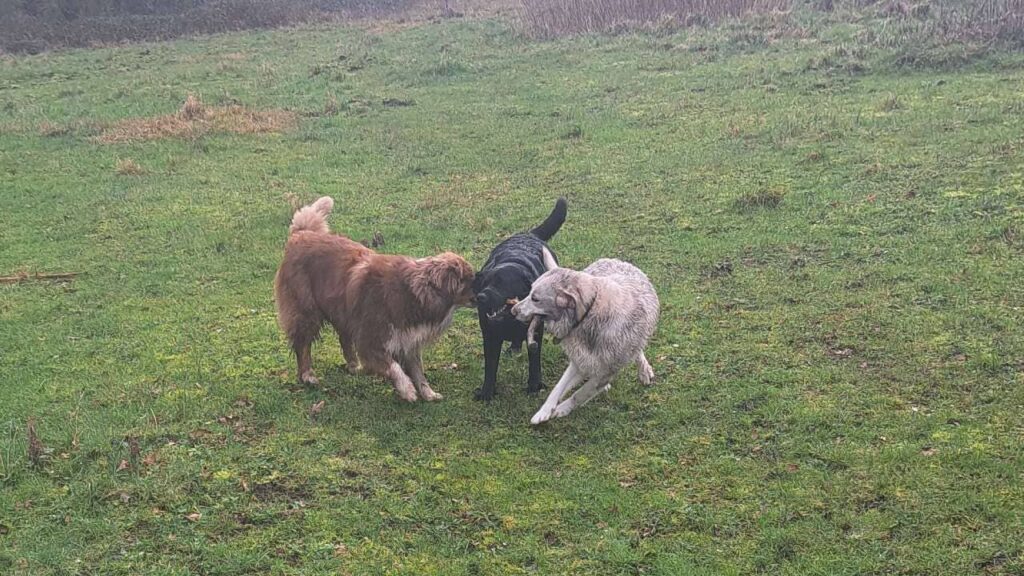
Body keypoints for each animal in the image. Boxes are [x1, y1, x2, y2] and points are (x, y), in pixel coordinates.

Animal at [274, 194, 477, 401]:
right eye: (471, 280)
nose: (483, 293)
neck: (412, 293)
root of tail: (301, 233)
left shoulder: (407, 341)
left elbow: (418, 371)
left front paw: (428, 393)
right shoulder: (370, 342)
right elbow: (394, 367)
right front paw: (407, 389)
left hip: (342, 309)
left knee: (343, 337)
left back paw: (354, 366)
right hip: (307, 311)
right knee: (303, 344)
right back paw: (307, 375)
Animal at [471, 196, 569, 399]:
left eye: (501, 283)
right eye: (483, 283)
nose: (481, 297)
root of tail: (529, 234)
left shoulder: (536, 331)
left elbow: (534, 360)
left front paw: (534, 385)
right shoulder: (489, 336)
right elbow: (490, 366)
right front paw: (487, 393)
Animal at [512, 247, 663, 422]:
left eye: (535, 299)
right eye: (529, 292)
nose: (513, 310)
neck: (590, 314)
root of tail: (618, 261)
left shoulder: (605, 373)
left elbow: (580, 394)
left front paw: (561, 409)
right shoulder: (578, 361)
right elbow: (558, 388)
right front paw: (544, 411)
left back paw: (643, 370)